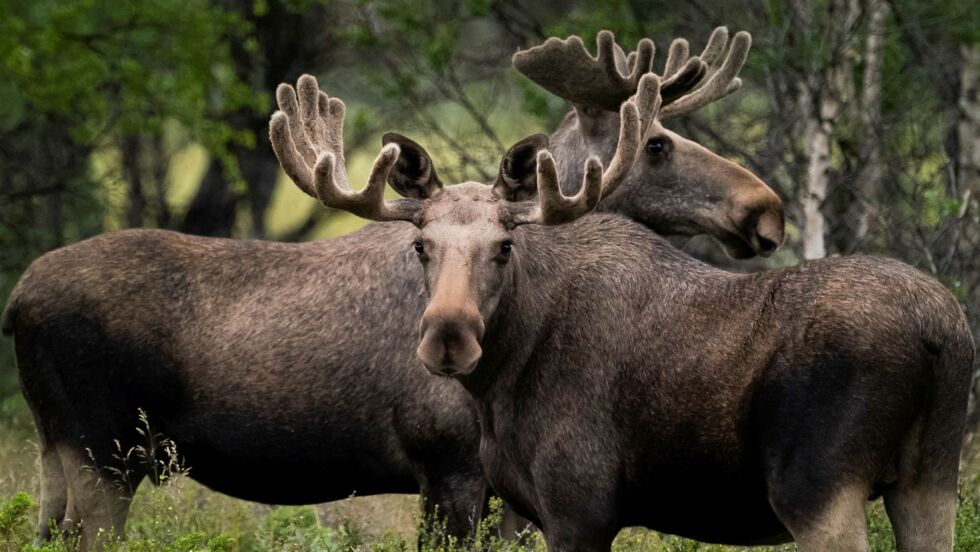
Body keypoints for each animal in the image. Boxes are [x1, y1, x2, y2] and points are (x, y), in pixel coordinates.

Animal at [0, 29, 780, 548]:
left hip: (55, 453)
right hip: (101, 452)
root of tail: (16, 300)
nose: (764, 209)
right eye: (656, 144)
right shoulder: (451, 468)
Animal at [312, 45, 980, 552]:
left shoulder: (578, 508)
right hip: (929, 482)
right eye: (420, 246)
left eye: (504, 247)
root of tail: (942, 334)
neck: (503, 375)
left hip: (819, 491)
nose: (448, 337)